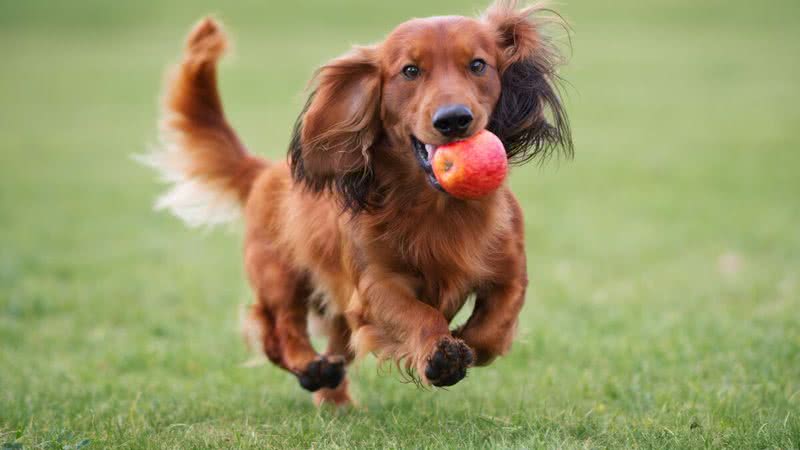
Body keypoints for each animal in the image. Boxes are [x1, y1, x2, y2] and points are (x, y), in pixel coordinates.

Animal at [142, 0, 568, 406]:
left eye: (478, 65)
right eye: (410, 71)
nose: (453, 120)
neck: (438, 208)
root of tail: (263, 171)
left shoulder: (511, 273)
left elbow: (493, 329)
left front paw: (465, 340)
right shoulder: (375, 285)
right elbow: (419, 314)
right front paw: (440, 354)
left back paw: (336, 399)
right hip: (279, 274)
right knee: (278, 330)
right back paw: (310, 367)